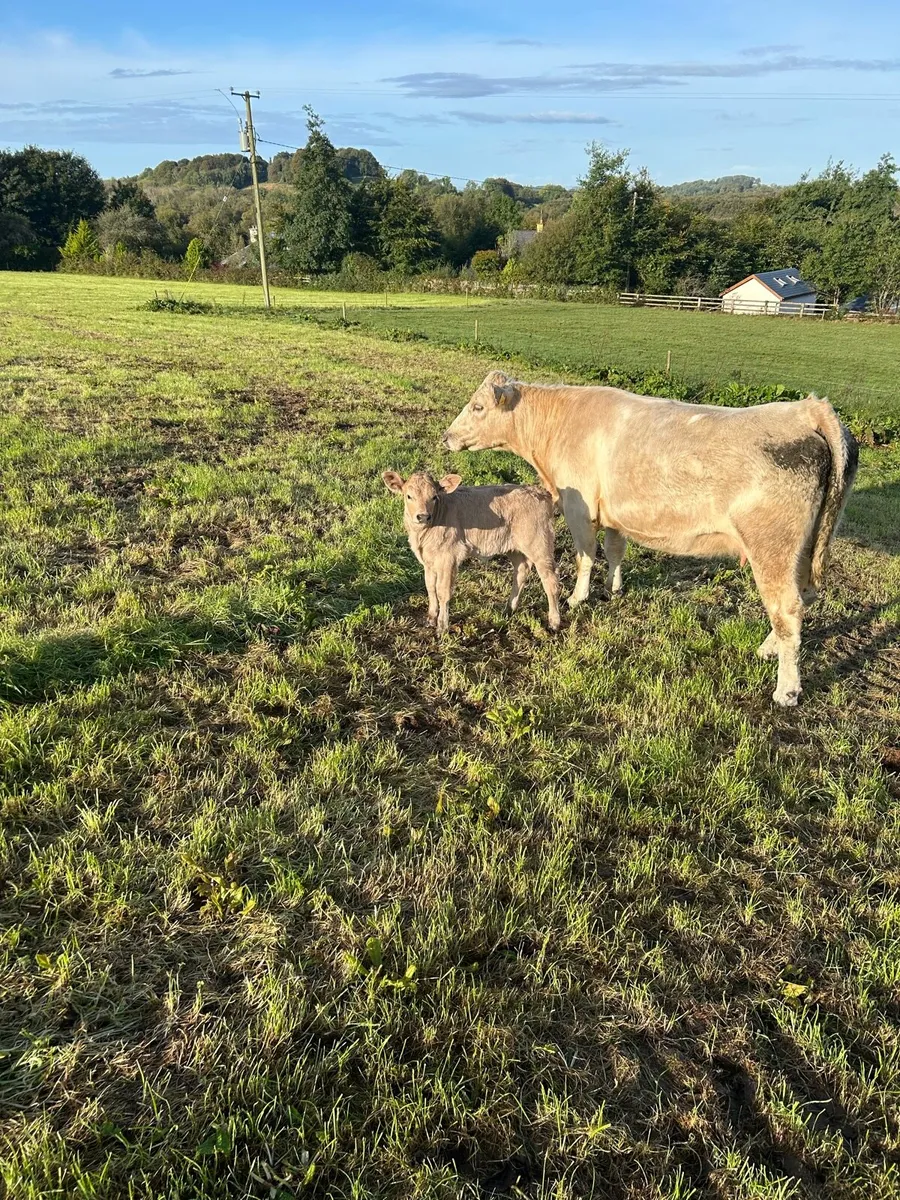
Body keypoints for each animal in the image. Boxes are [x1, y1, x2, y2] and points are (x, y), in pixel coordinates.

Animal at [382, 469, 561, 634]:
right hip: (516, 548)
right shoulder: (429, 560)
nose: (423, 516)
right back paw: (508, 610)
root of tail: (539, 491)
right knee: (521, 572)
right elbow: (430, 587)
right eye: (409, 496)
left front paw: (442, 627)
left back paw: (554, 622)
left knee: (550, 581)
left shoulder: (448, 558)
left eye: (434, 497)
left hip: (540, 545)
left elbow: (442, 592)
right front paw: (431, 618)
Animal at [443, 371, 859, 706]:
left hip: (773, 547)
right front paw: (613, 587)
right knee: (802, 598)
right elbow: (614, 550)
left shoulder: (578, 507)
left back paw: (786, 690)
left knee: (787, 608)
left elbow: (584, 554)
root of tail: (808, 408)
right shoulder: (612, 512)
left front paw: (578, 597)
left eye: (478, 406)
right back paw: (768, 649)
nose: (446, 437)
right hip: (807, 546)